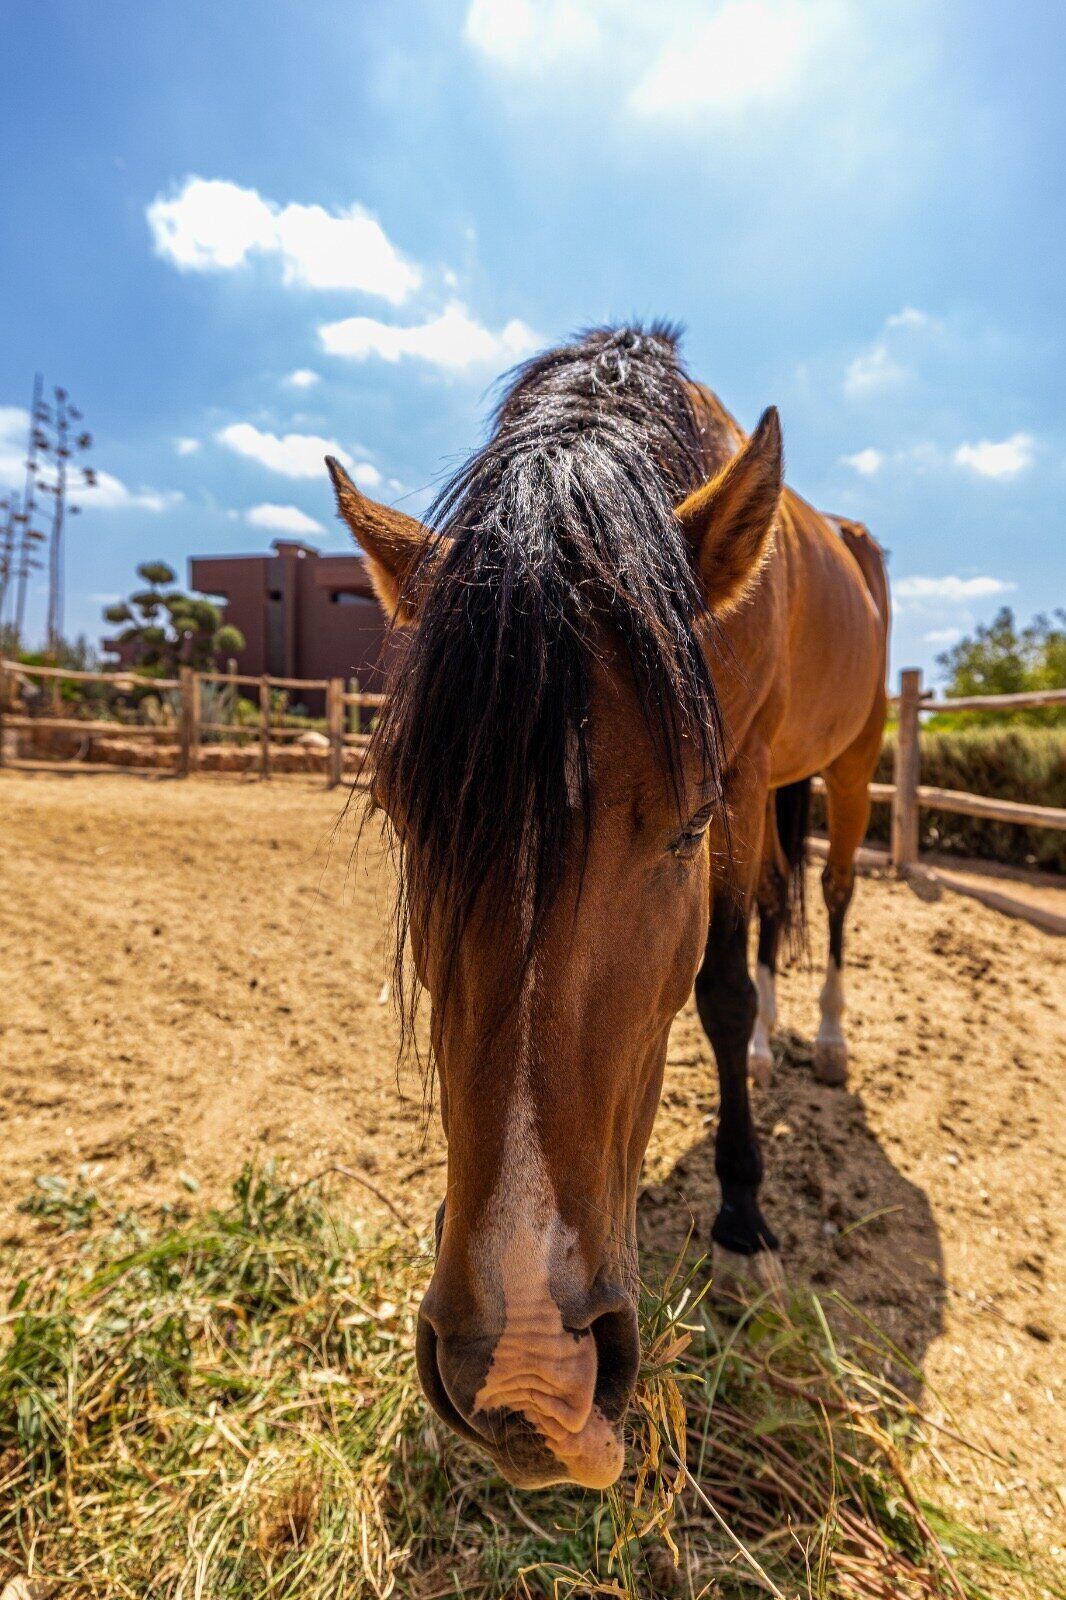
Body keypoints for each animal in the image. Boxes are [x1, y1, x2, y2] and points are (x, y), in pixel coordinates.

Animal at [326, 324, 888, 1491]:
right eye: (406, 815)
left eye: (687, 822)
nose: (527, 1375)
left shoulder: (741, 778)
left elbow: (718, 992)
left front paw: (743, 1215)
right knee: (781, 910)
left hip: (851, 765)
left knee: (829, 895)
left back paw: (822, 1040)